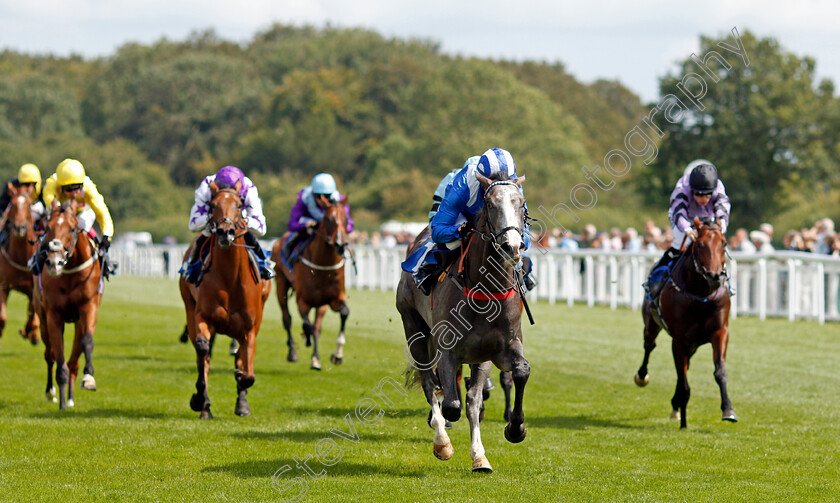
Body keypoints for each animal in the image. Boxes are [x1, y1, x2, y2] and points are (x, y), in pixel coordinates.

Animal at [33, 198, 101, 410]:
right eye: (48, 227)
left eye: (72, 229)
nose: (54, 263)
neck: (70, 272)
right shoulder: (54, 316)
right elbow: (58, 358)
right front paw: (61, 402)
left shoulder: (88, 307)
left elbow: (87, 342)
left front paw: (89, 379)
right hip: (43, 320)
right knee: (50, 355)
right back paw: (53, 393)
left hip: (77, 321)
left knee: (73, 360)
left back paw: (70, 396)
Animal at [180, 183, 272, 420]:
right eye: (213, 204)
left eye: (239, 205)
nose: (225, 231)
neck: (230, 278)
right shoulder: (203, 317)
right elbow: (202, 352)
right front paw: (199, 399)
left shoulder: (249, 329)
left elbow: (248, 372)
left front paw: (241, 387)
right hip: (189, 306)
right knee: (203, 356)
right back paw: (204, 405)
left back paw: (241, 403)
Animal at [274, 200, 350, 370]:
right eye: (327, 219)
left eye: (346, 219)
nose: (340, 244)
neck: (323, 265)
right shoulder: (303, 301)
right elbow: (307, 325)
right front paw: (306, 338)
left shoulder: (335, 298)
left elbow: (344, 313)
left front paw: (337, 355)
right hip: (281, 283)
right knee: (287, 319)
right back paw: (293, 352)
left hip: (321, 304)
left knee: (317, 326)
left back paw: (315, 357)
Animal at [636, 217, 736, 430]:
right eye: (699, 245)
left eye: (724, 243)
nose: (714, 276)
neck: (701, 296)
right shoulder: (679, 339)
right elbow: (683, 382)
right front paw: (683, 421)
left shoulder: (720, 331)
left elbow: (720, 371)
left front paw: (728, 409)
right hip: (652, 323)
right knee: (649, 345)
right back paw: (642, 377)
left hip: (693, 344)